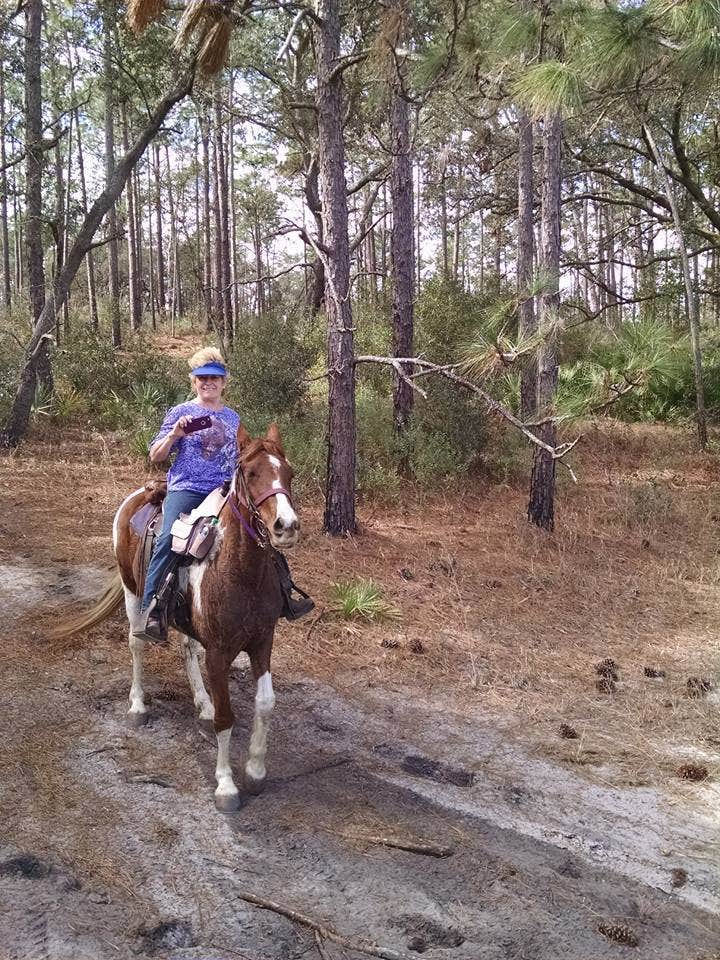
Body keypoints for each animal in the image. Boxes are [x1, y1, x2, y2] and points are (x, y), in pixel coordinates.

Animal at [52, 423, 301, 811]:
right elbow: (226, 716)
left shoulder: (262, 641)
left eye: (288, 473)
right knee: (136, 644)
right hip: (133, 594)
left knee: (186, 650)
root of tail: (139, 495)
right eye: (250, 473)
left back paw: (202, 703)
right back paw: (138, 705)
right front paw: (226, 786)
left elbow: (265, 704)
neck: (240, 571)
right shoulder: (219, 652)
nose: (285, 526)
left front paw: (256, 771)